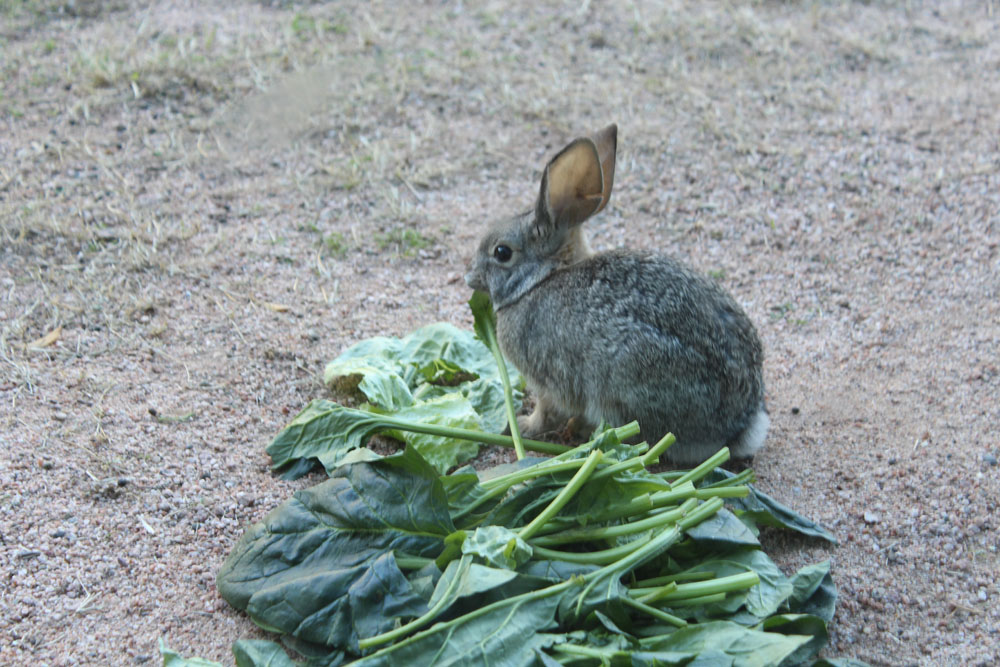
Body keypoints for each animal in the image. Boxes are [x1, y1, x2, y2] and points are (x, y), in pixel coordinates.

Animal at [464, 122, 768, 464]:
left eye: (502, 252)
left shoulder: (549, 381)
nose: (470, 277)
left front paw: (524, 425)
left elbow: (548, 412)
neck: (542, 278)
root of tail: (739, 427)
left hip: (626, 383)